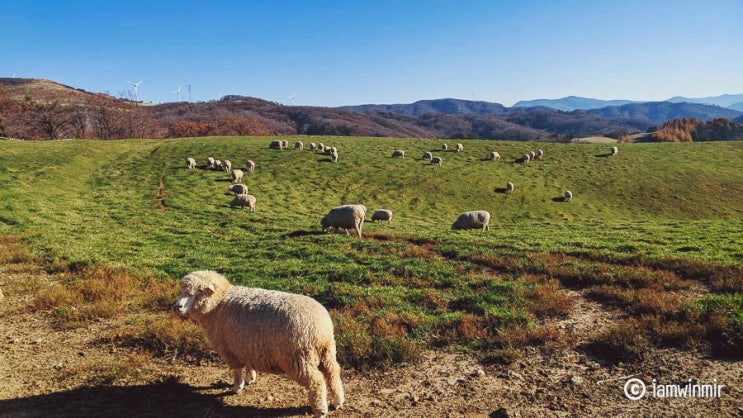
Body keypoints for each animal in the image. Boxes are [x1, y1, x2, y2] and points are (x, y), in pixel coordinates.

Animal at [175, 270, 346, 416]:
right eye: (182, 291)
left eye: (198, 291)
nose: (177, 306)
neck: (218, 303)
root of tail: (321, 328)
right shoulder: (245, 345)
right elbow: (248, 364)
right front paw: (250, 378)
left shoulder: (229, 348)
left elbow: (237, 370)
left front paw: (237, 387)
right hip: (327, 352)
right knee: (333, 373)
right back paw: (338, 401)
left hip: (299, 357)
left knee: (317, 381)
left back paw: (321, 410)